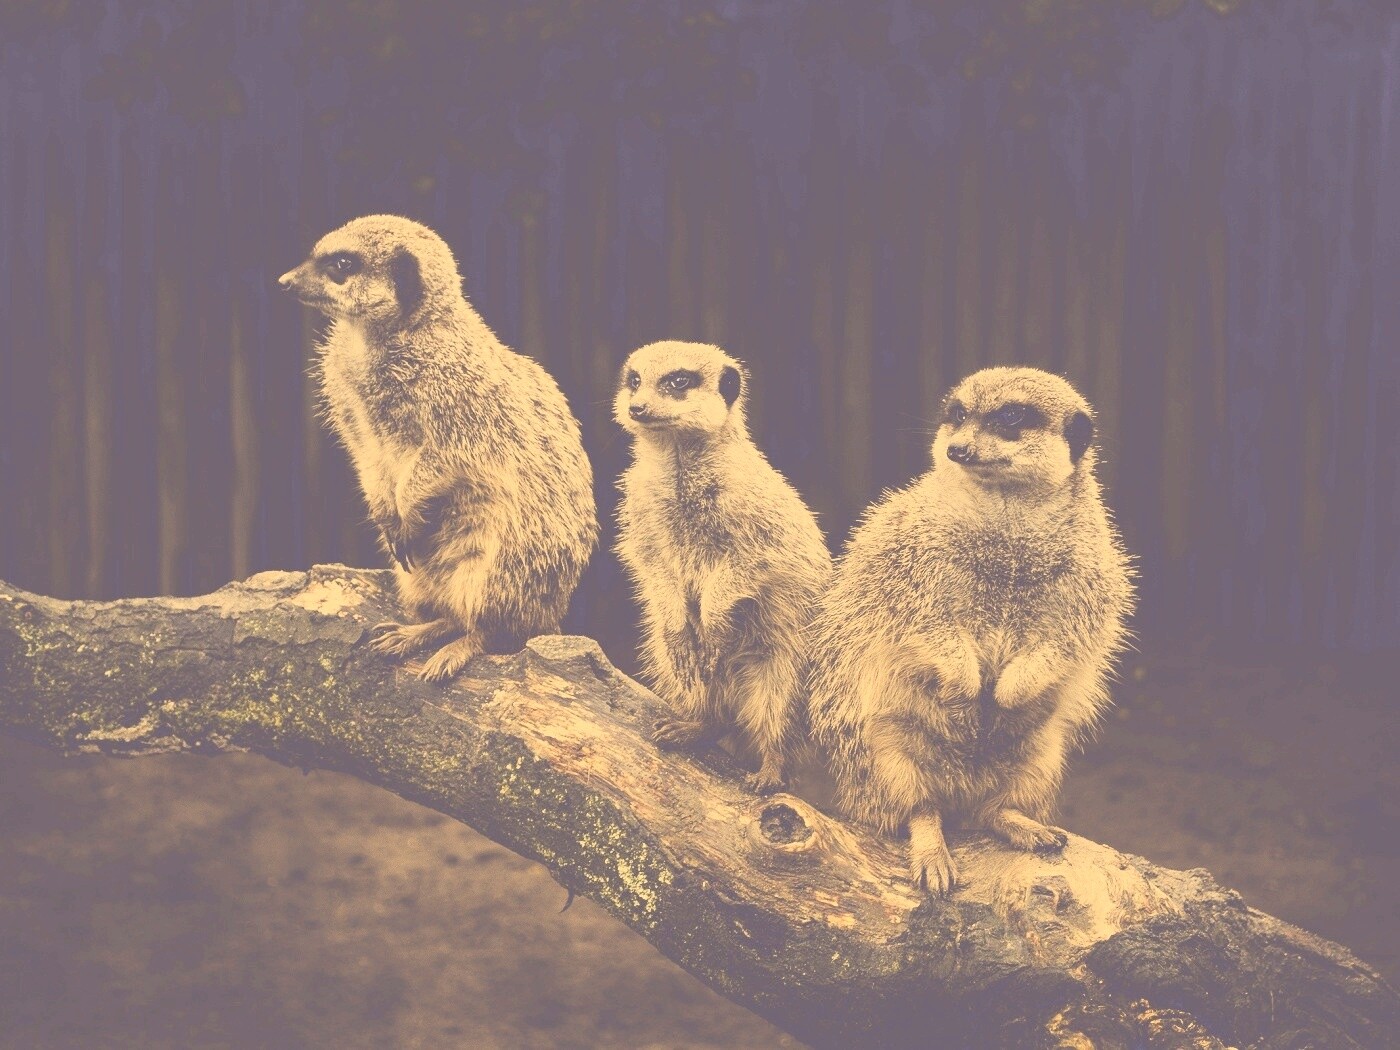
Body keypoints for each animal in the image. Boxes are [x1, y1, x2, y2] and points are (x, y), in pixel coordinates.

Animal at [279, 214, 598, 680]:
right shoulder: (344, 393)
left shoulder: (458, 393)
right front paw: (387, 512)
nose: (284, 281)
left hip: (510, 561)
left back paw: (462, 643)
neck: (377, 341)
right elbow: (364, 452)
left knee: (493, 623)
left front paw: (407, 509)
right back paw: (420, 630)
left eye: (341, 264)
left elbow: (448, 455)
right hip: (415, 576)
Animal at [613, 341, 833, 792]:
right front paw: (679, 625)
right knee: (698, 684)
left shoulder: (756, 514)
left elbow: (751, 562)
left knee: (780, 707)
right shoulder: (640, 506)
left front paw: (714, 620)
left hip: (791, 657)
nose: (637, 407)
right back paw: (698, 723)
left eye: (678, 380)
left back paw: (771, 767)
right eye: (635, 380)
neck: (679, 464)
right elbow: (650, 560)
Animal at [806, 366, 1133, 895]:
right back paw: (931, 844)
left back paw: (1018, 820)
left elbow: (1069, 639)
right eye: (956, 414)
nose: (957, 449)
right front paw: (965, 687)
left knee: (997, 803)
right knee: (911, 801)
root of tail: (960, 797)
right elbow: (923, 625)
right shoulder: (907, 556)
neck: (1006, 525)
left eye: (1011, 417)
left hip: (1041, 754)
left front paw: (1008, 692)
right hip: (877, 750)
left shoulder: (1091, 571)